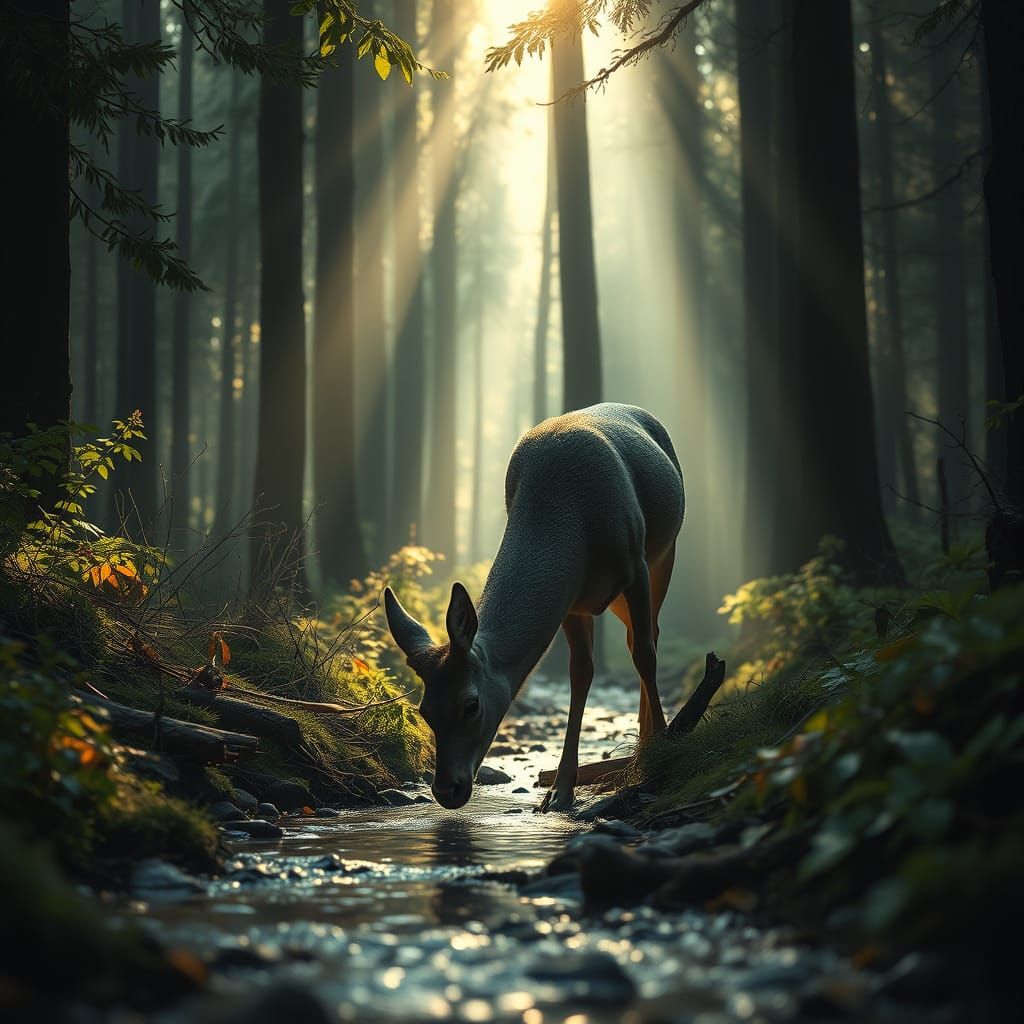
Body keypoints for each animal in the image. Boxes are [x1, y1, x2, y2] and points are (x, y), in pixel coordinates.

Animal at [383, 403, 684, 812]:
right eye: (424, 710)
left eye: (471, 704)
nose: (447, 790)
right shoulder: (573, 601)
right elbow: (580, 674)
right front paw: (558, 791)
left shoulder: (635, 564)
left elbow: (646, 657)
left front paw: (661, 755)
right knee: (633, 639)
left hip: (664, 554)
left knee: (648, 638)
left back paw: (647, 743)